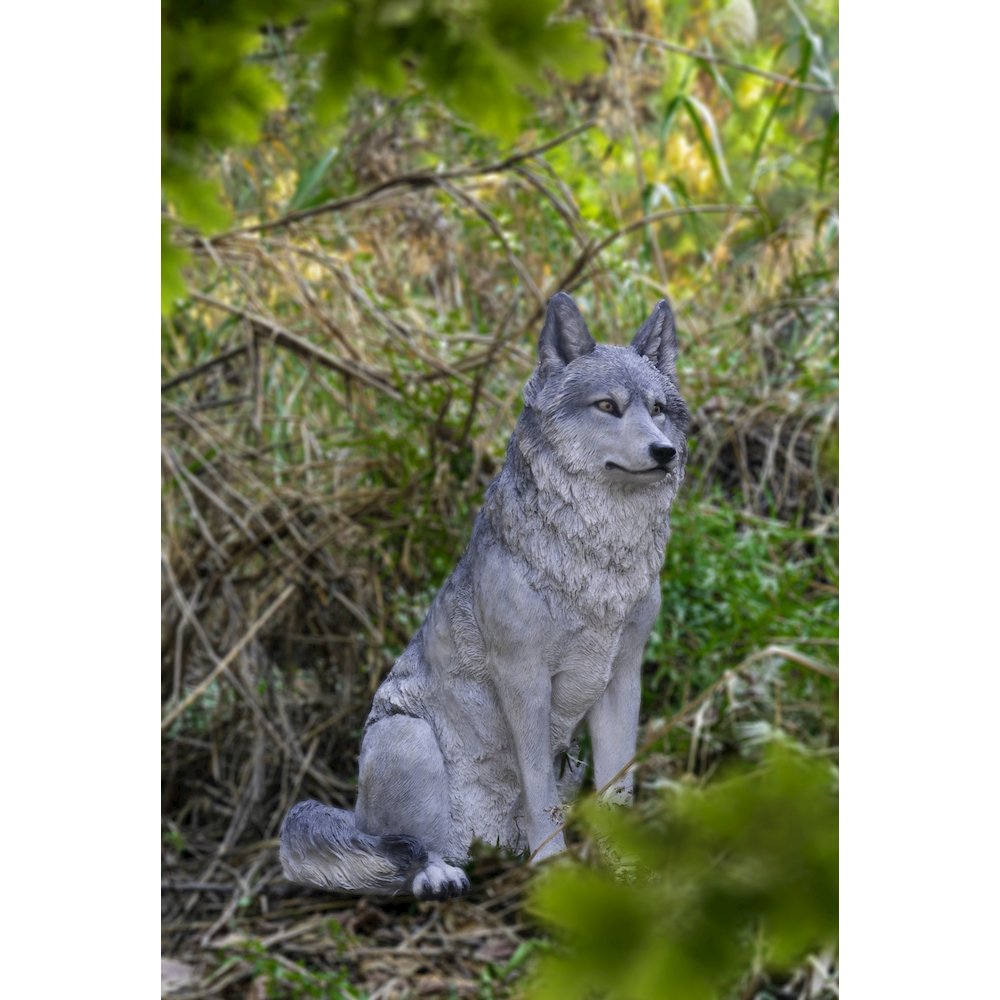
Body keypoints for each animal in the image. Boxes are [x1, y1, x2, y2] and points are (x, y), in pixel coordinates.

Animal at [280, 292, 689, 899]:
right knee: (410, 853)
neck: (598, 561)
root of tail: (356, 814)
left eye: (658, 409)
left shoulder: (622, 677)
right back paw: (440, 875)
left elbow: (620, 787)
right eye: (608, 406)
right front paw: (553, 873)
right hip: (408, 741)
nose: (664, 452)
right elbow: (540, 797)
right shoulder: (522, 676)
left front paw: (627, 873)